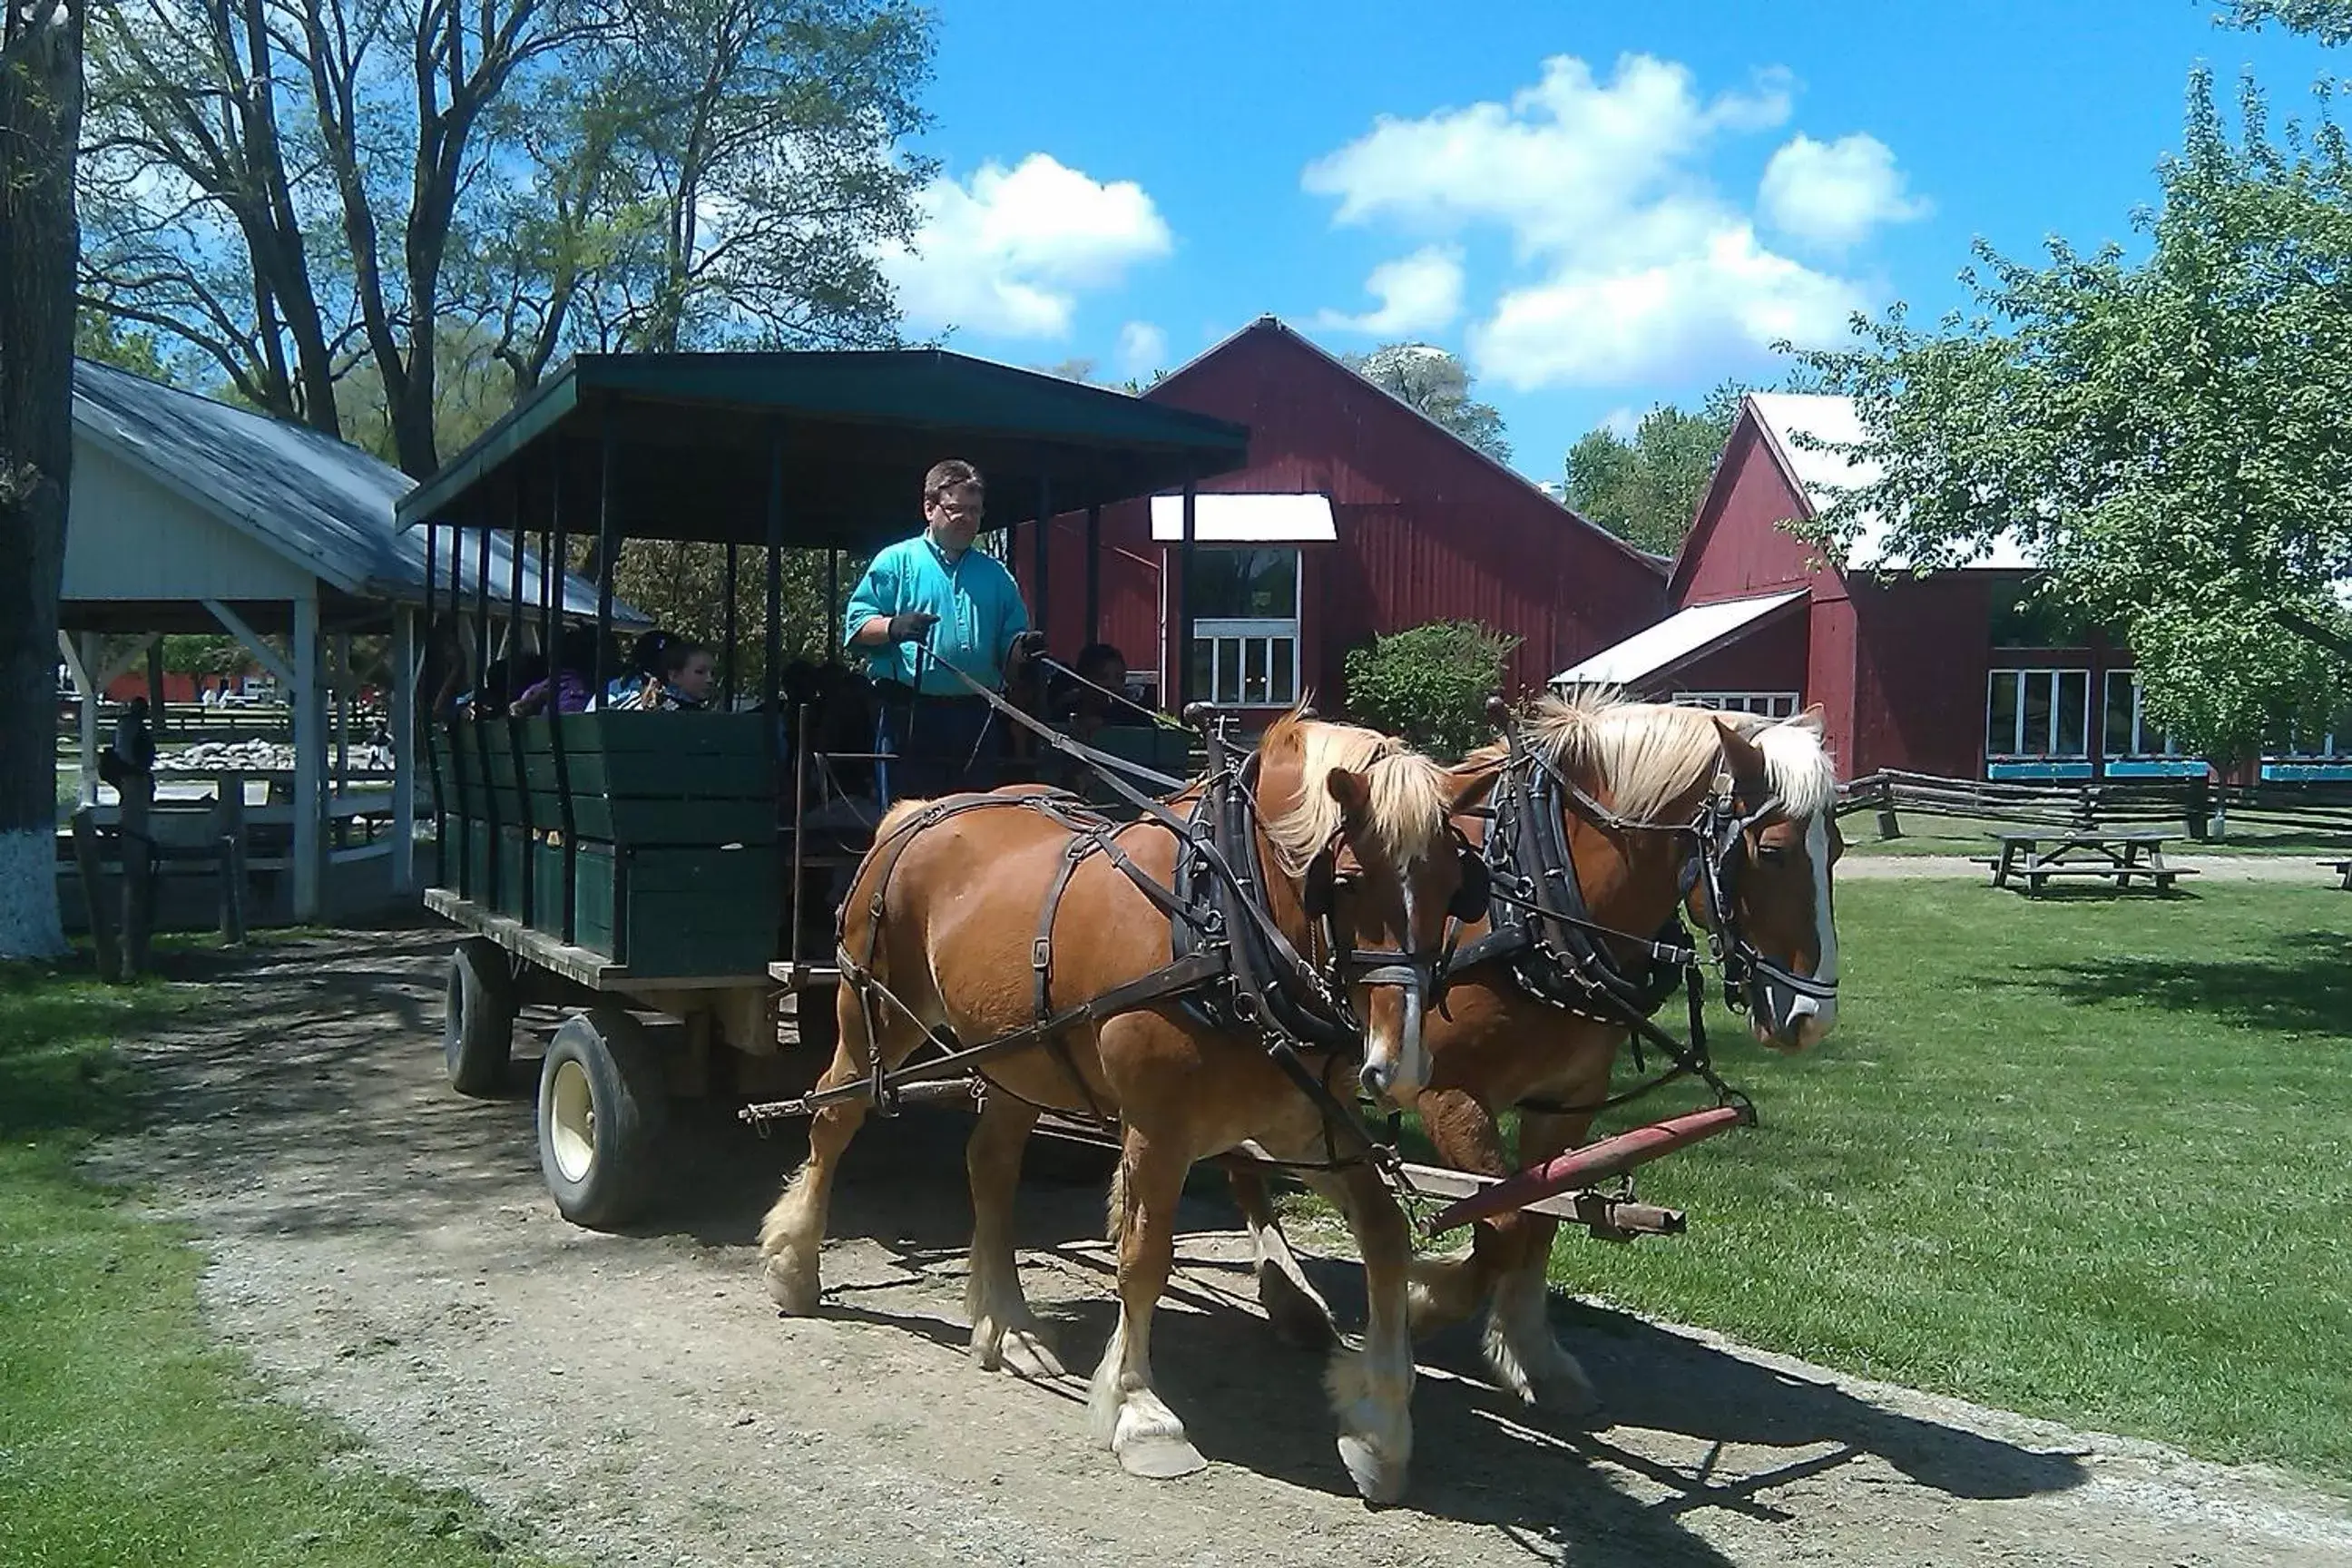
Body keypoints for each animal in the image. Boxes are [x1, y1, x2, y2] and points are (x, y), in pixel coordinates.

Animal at [761, 710, 1476, 1494]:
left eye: (1454, 887)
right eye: (1346, 882)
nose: (1400, 1066)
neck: (1223, 920)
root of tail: (915, 811)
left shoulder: (1308, 1127)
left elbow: (1385, 1236)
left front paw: (1381, 1425)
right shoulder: (1159, 1131)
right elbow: (1144, 1258)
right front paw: (1141, 1413)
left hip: (1019, 1057)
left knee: (991, 1165)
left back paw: (1008, 1324)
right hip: (876, 1016)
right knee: (834, 1118)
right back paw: (796, 1267)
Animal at [1222, 691, 1844, 1419]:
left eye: (1837, 849)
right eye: (1772, 852)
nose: (1812, 1018)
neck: (1533, 899)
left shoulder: (1566, 1099)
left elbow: (1539, 1221)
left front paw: (1529, 1354)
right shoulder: (1449, 1094)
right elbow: (1503, 1221)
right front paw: (1425, 1301)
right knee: (1242, 1162)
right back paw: (1289, 1295)